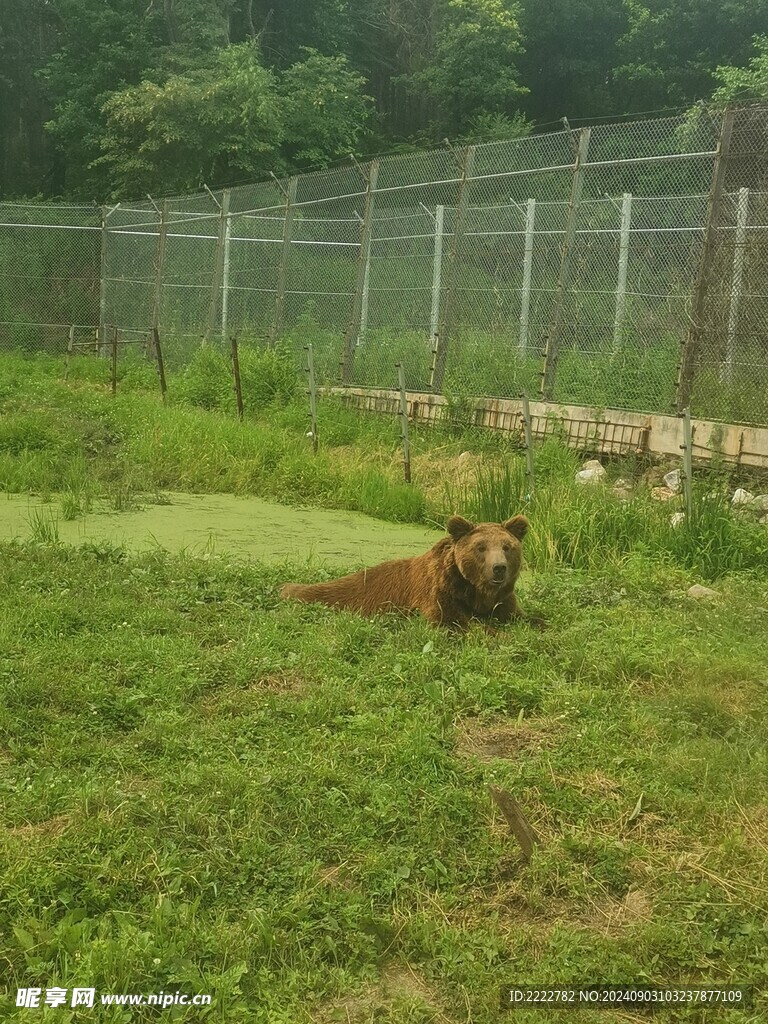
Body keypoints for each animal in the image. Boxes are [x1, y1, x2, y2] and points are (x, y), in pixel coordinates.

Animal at [280, 516, 532, 626]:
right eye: (481, 547)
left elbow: (522, 617)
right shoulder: (441, 594)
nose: (498, 568)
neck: (477, 592)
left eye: (507, 547)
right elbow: (455, 622)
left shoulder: (503, 601)